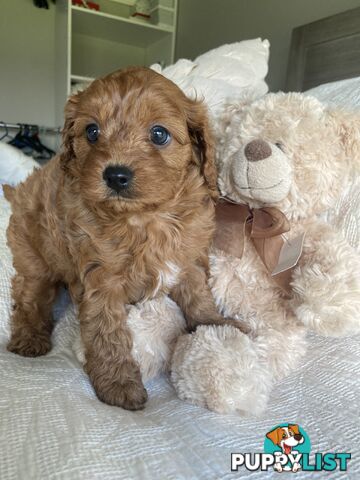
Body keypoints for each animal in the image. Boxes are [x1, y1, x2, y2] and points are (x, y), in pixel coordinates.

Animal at [4, 67, 242, 410]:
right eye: (92, 131)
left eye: (159, 134)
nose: (116, 175)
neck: (144, 218)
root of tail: (21, 189)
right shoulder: (100, 281)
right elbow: (107, 332)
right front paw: (118, 383)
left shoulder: (187, 261)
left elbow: (199, 296)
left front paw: (216, 325)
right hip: (32, 252)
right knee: (29, 295)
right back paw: (29, 338)